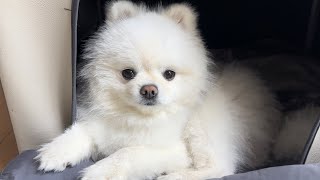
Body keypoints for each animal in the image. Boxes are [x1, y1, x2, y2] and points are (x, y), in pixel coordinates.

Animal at [35, 0, 280, 179]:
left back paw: (171, 177)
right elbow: (82, 130)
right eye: (128, 73)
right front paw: (56, 152)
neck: (139, 119)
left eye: (169, 74)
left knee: (219, 166)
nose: (149, 90)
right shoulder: (102, 124)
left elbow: (129, 152)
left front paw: (101, 171)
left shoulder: (174, 150)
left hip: (203, 128)